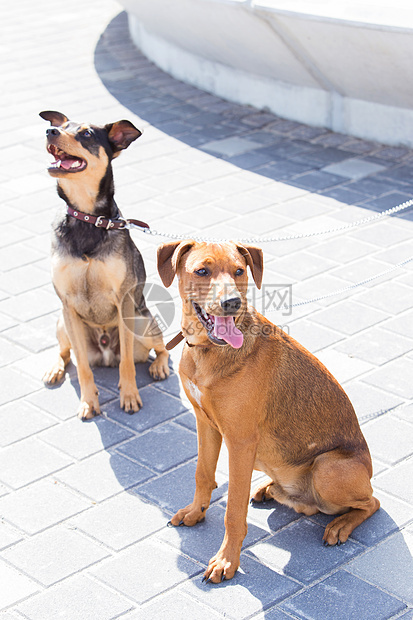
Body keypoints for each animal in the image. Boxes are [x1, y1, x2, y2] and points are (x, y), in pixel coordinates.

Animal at [38, 111, 167, 422]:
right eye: (61, 126)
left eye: (86, 134)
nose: (49, 132)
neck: (87, 218)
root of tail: (107, 354)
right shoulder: (67, 304)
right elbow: (83, 367)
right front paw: (88, 402)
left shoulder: (124, 300)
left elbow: (128, 366)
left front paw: (129, 395)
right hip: (62, 323)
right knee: (66, 353)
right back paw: (54, 369)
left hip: (142, 320)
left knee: (160, 350)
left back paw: (158, 366)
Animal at [158, 240, 380, 584]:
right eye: (202, 271)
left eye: (239, 271)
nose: (232, 303)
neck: (208, 351)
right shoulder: (205, 423)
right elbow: (202, 474)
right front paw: (196, 512)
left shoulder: (240, 441)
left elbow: (234, 510)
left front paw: (226, 560)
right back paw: (271, 489)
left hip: (327, 469)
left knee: (372, 502)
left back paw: (340, 525)